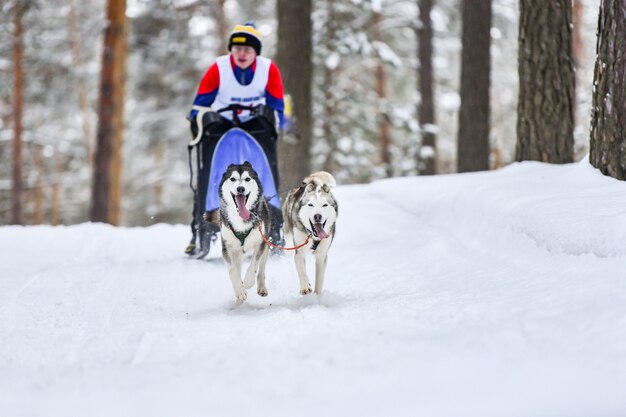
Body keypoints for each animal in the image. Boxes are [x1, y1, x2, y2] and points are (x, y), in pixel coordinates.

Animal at [218, 162, 270, 302]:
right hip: (237, 253)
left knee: (262, 268)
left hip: (266, 244)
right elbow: (232, 270)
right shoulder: (227, 247)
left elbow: (254, 265)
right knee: (237, 267)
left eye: (247, 179)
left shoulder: (260, 243)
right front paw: (240, 290)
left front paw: (247, 282)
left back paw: (261, 287)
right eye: (232, 179)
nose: (240, 189)